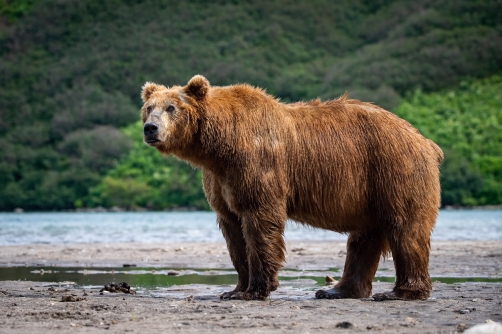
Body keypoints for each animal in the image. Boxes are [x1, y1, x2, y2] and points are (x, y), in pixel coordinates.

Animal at [140, 75, 444, 300]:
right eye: (149, 108)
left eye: (171, 107)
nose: (150, 128)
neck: (218, 148)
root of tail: (425, 140)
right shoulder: (219, 179)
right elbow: (232, 228)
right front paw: (235, 288)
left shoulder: (255, 163)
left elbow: (260, 221)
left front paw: (255, 289)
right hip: (370, 189)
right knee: (364, 237)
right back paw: (336, 290)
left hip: (395, 170)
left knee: (406, 228)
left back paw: (402, 292)